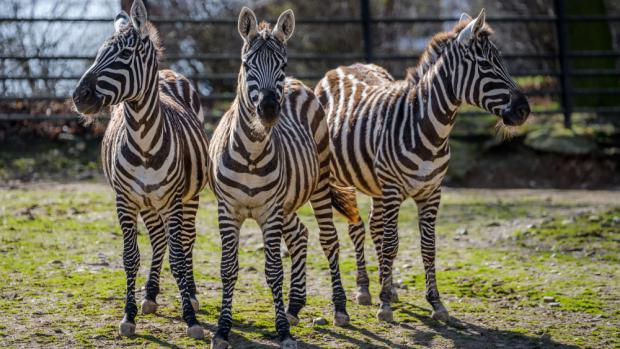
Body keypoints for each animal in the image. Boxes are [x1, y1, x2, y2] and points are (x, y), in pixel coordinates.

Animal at [71, 0, 209, 338]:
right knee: (159, 239)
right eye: (98, 53)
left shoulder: (174, 199)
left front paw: (190, 318)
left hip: (189, 197)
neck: (144, 139)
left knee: (186, 240)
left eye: (124, 55)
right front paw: (129, 314)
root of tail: (168, 73)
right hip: (147, 201)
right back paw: (151, 295)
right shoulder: (125, 199)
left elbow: (178, 255)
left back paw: (192, 294)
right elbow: (130, 255)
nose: (79, 97)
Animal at [209, 7, 348, 348]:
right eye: (247, 65)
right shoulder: (227, 210)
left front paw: (282, 331)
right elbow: (228, 268)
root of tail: (298, 84)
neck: (251, 152)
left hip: (319, 183)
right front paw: (222, 330)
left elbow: (273, 270)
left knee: (329, 240)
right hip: (287, 202)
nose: (270, 109)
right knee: (299, 235)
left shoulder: (269, 211)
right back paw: (294, 305)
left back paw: (339, 309)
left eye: (282, 65)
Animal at [318, 9, 532, 322]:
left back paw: (386, 286)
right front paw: (383, 304)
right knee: (357, 229)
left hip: (373, 182)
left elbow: (428, 247)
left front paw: (435, 303)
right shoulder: (393, 189)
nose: (523, 110)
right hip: (342, 179)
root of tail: (342, 67)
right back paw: (364, 289)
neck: (430, 130)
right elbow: (392, 243)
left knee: (374, 227)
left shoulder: (432, 192)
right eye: (485, 64)